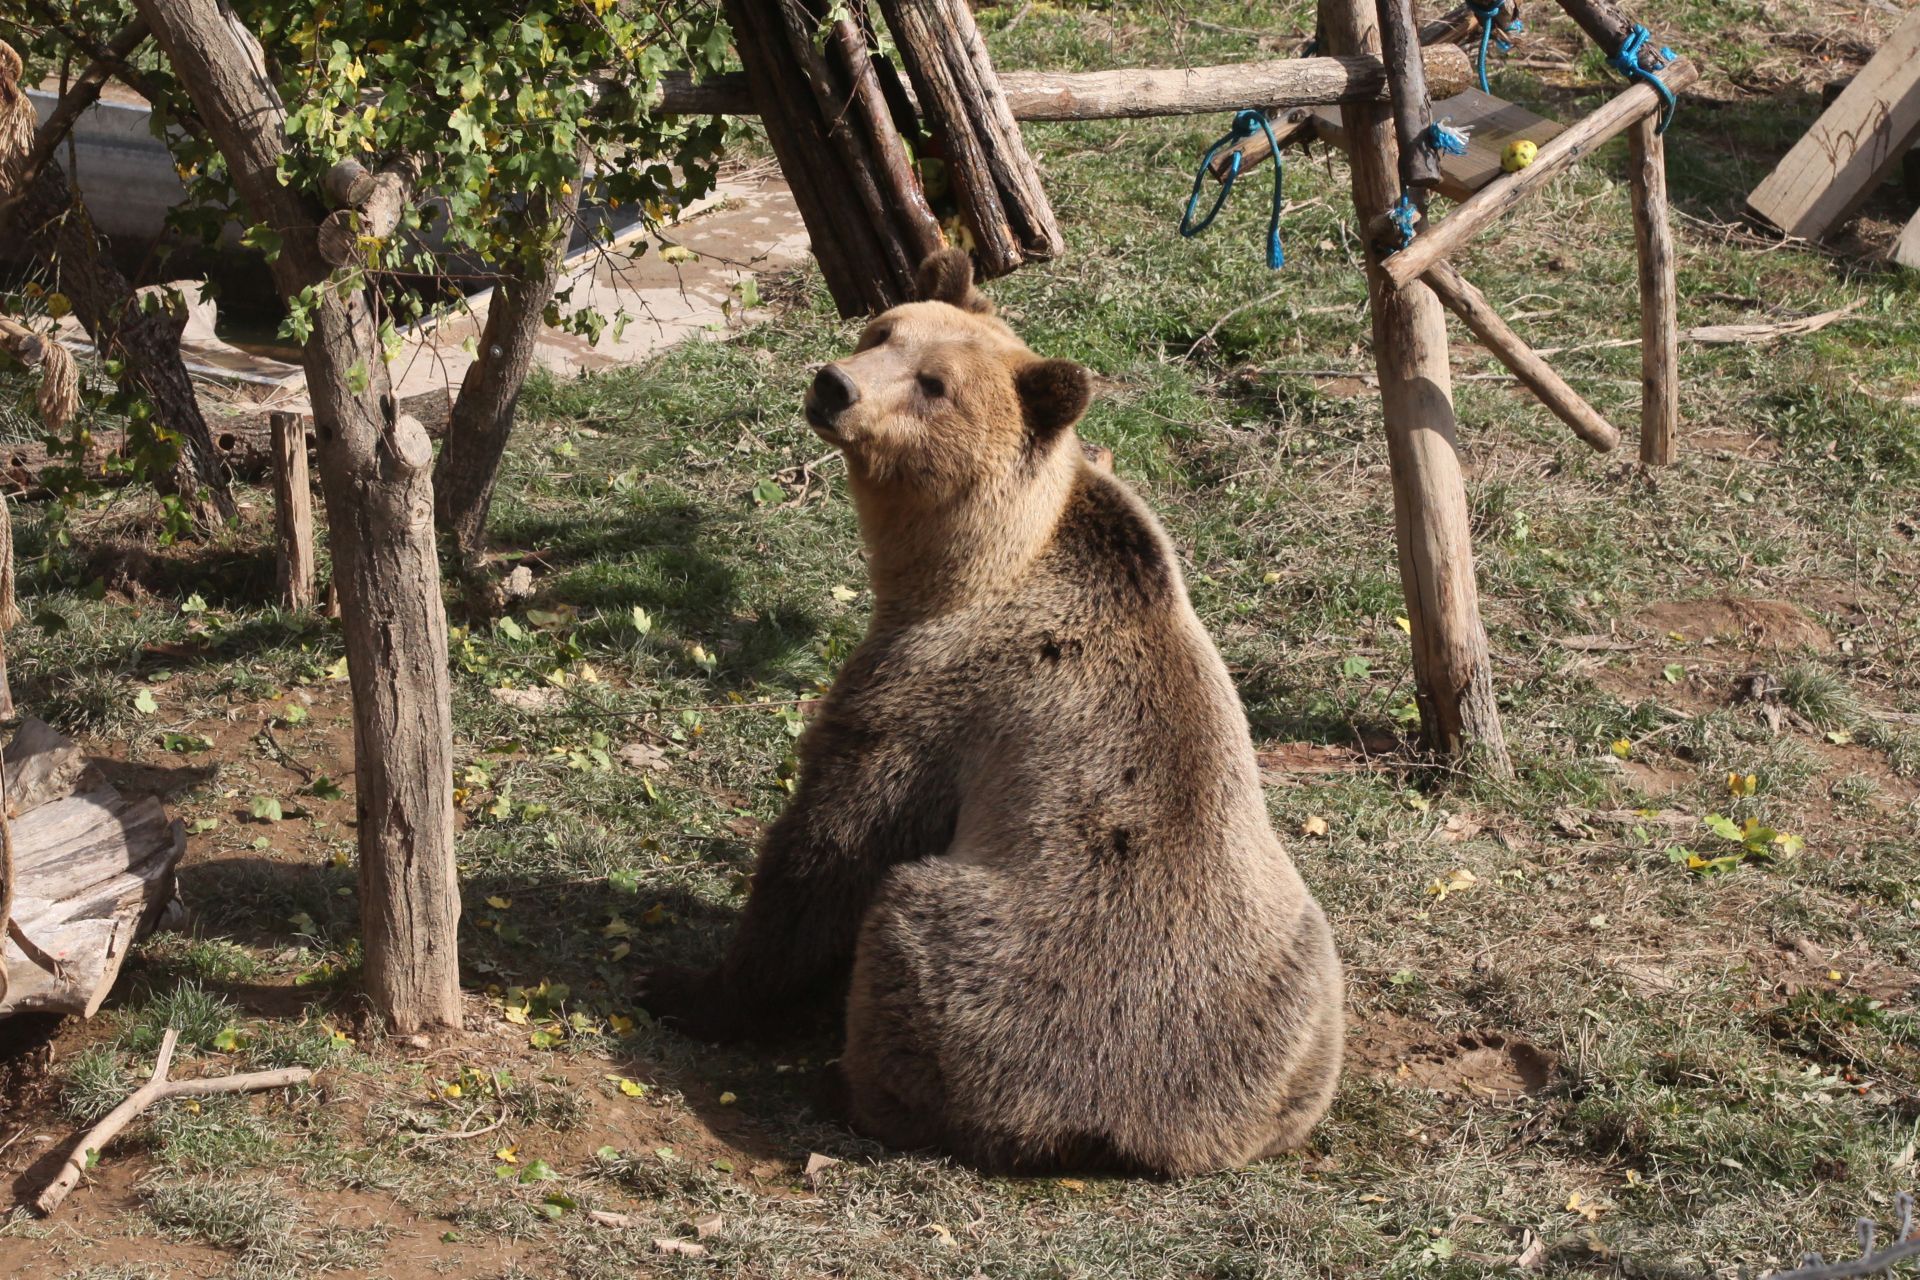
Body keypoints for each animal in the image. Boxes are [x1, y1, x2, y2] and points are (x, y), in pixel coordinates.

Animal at [637, 253, 1344, 1182]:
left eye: (935, 384)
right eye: (882, 330)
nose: (834, 386)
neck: (968, 565)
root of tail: (1135, 1132)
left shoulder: (935, 691)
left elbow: (830, 844)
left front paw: (688, 988)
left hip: (1005, 974)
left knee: (910, 938)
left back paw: (848, 1083)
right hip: (1296, 991)